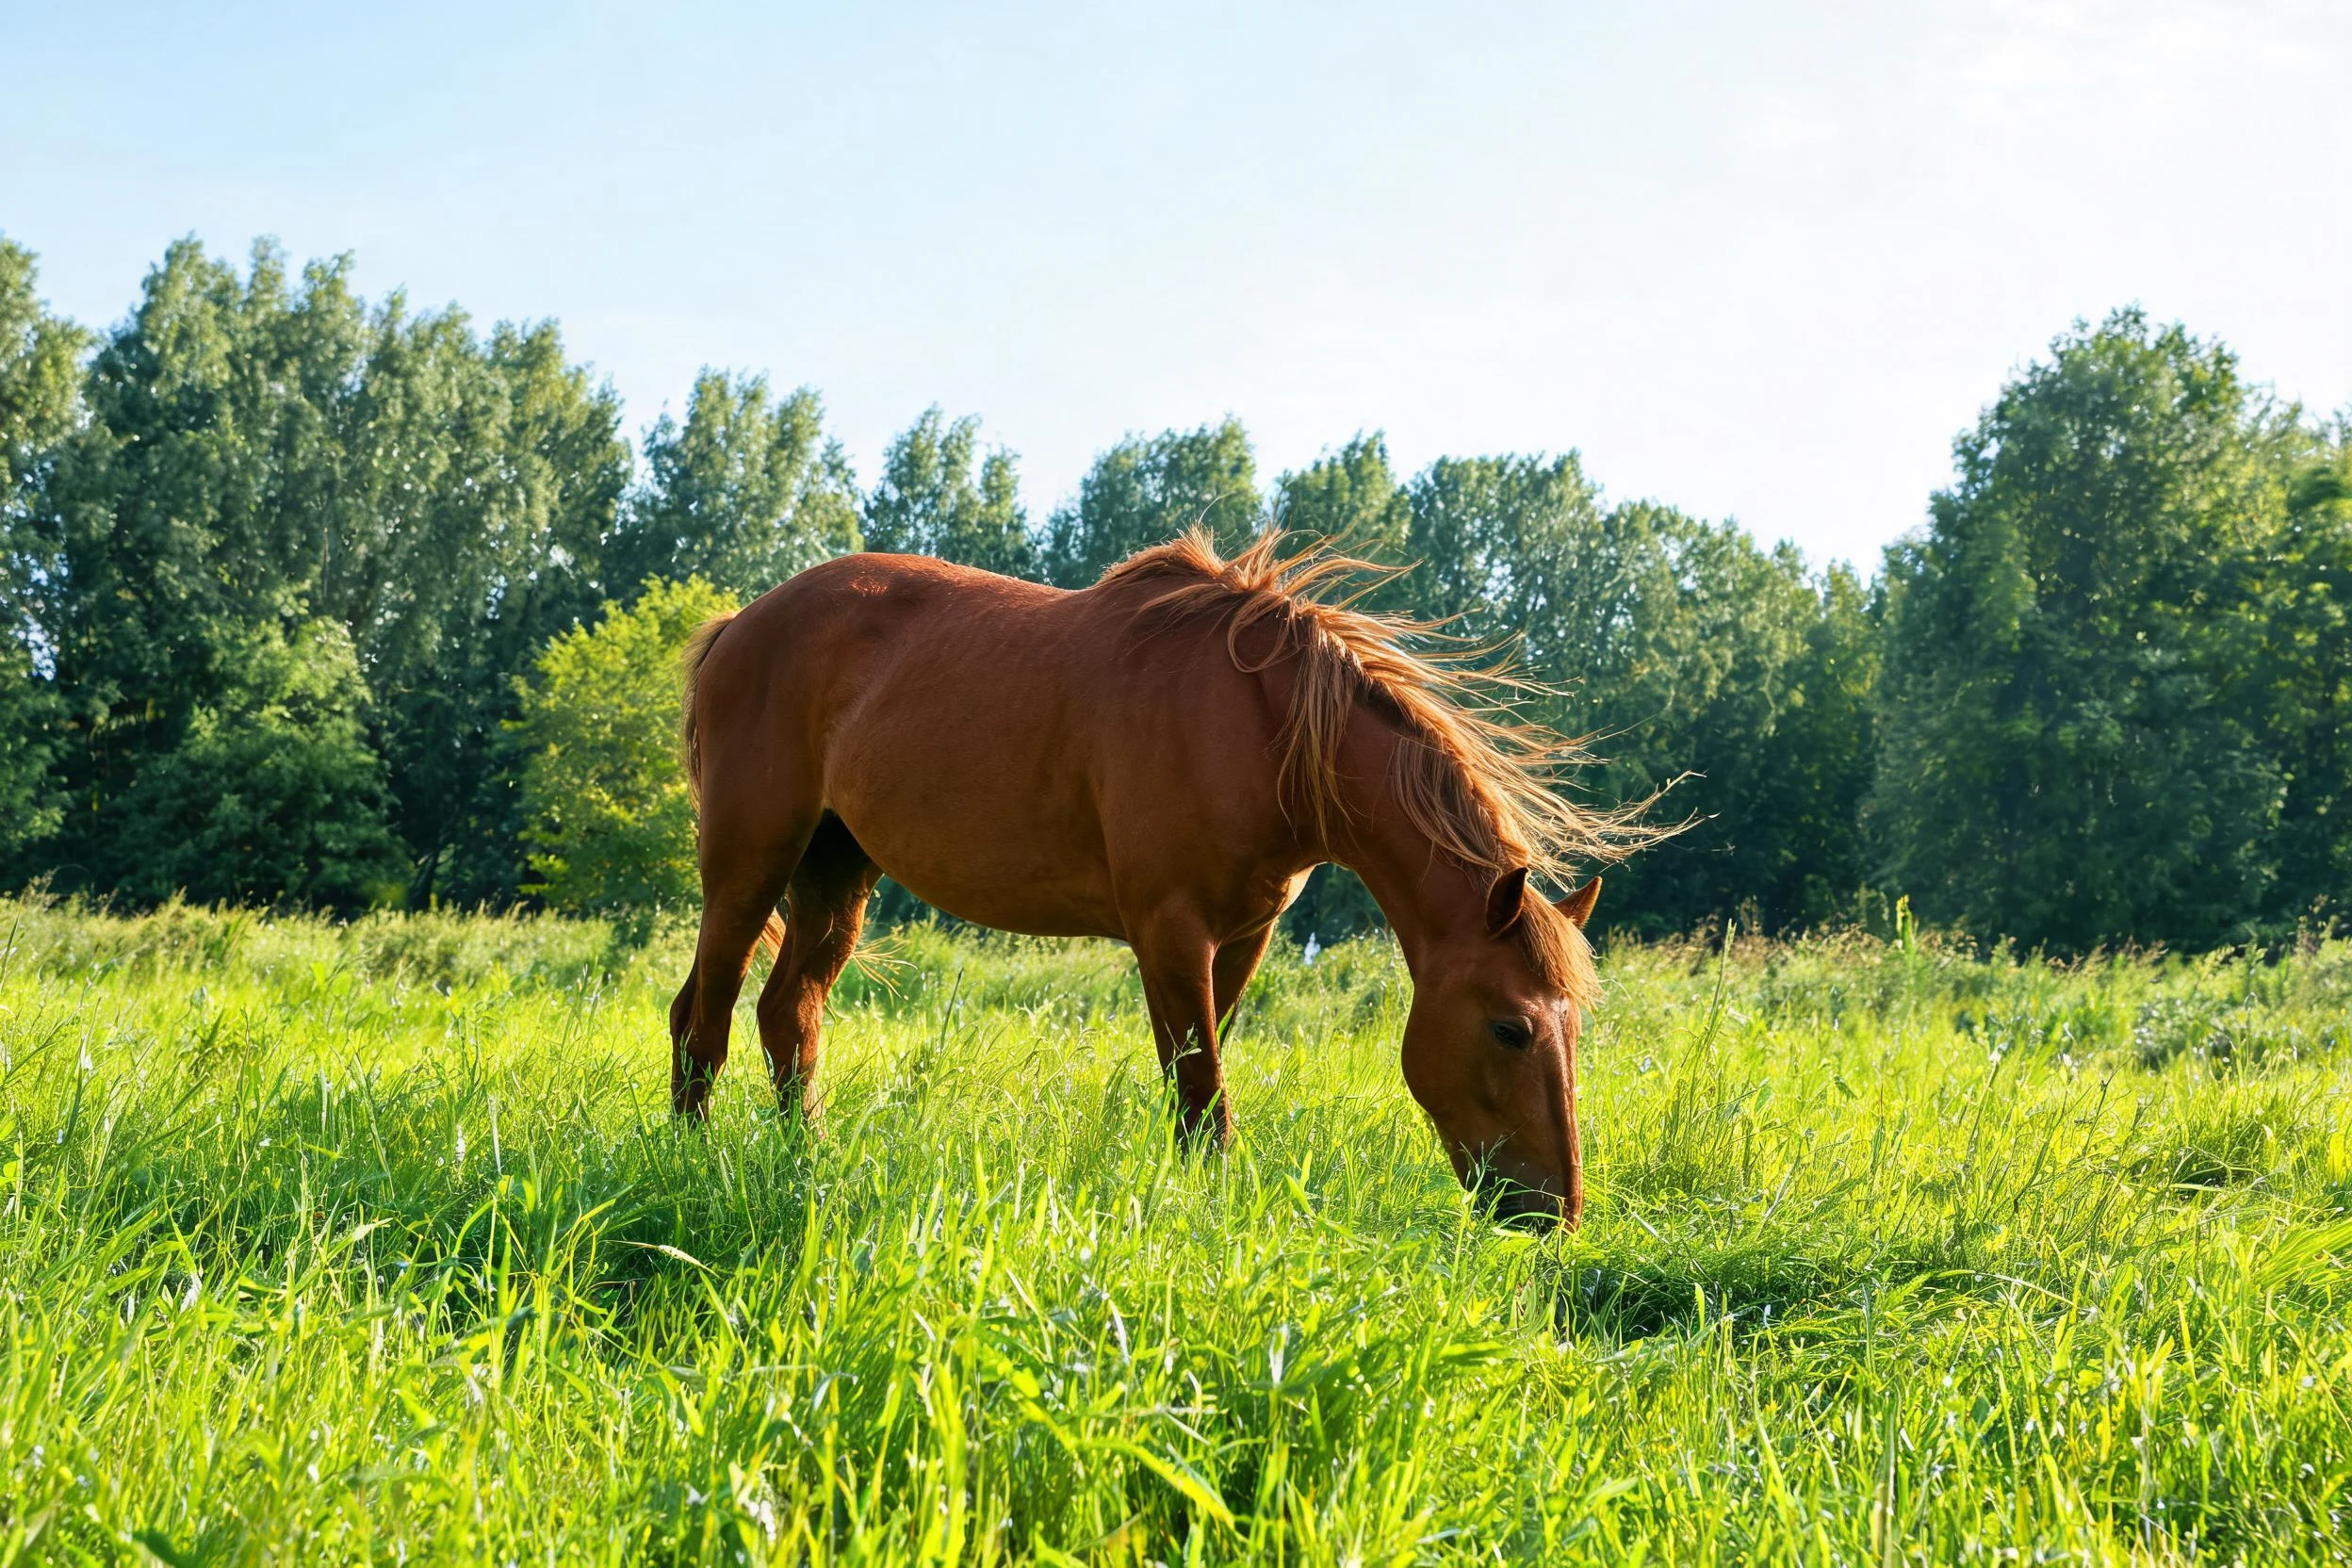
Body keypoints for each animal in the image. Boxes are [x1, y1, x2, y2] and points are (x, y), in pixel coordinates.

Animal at [669, 531, 1649, 1226]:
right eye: (1511, 1029)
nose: (1555, 1213)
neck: (1266, 731)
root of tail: (737, 628)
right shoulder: (1169, 931)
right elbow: (1202, 1099)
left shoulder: (1243, 936)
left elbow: (1198, 1081)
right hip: (750, 862)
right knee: (702, 1016)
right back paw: (694, 1165)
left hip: (836, 873)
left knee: (788, 1014)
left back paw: (806, 1163)